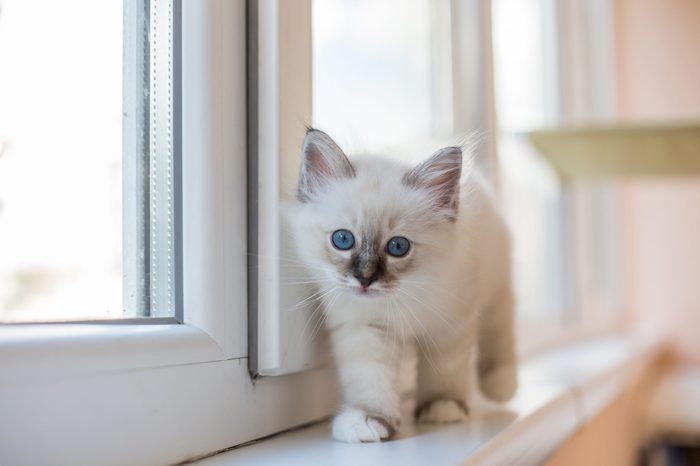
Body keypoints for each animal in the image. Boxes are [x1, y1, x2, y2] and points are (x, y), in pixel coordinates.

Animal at [286, 129, 520, 442]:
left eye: (398, 247)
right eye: (343, 240)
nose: (365, 278)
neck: (404, 296)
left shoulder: (450, 325)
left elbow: (445, 371)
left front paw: (442, 406)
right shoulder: (367, 328)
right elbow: (370, 378)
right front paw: (369, 421)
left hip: (495, 282)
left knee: (499, 328)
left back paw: (501, 387)